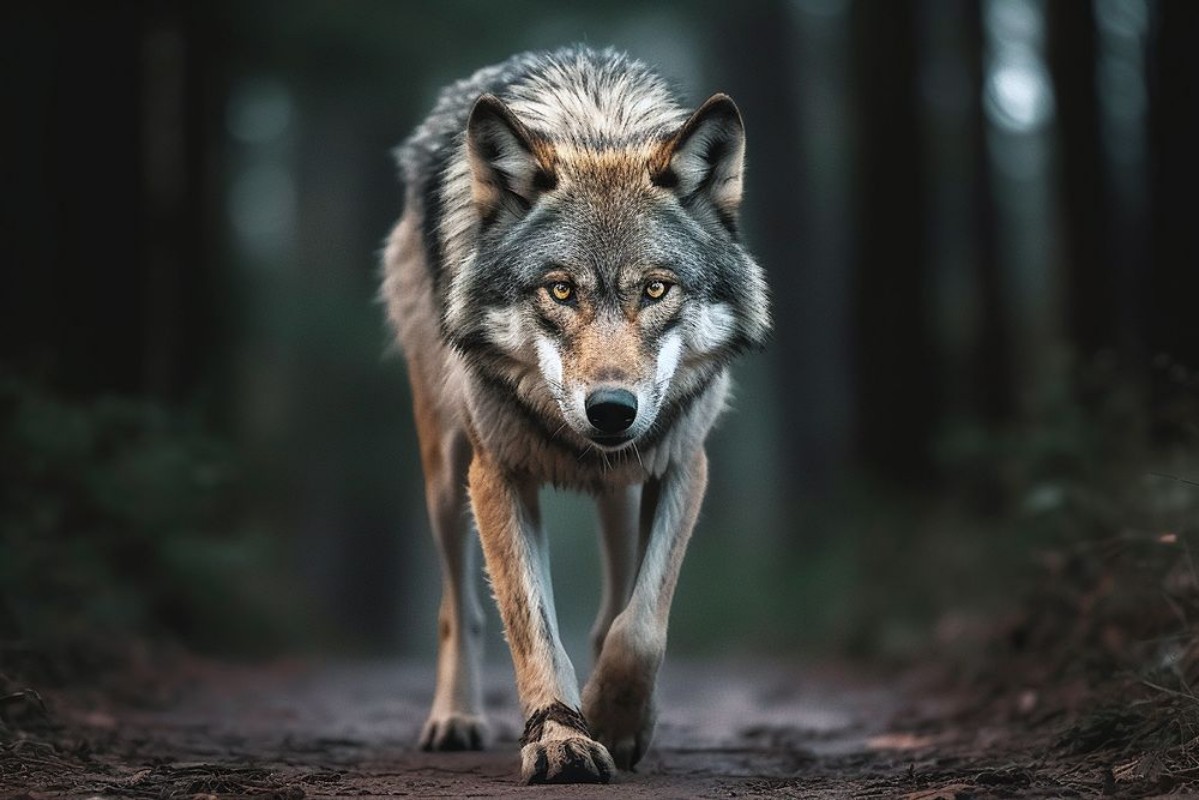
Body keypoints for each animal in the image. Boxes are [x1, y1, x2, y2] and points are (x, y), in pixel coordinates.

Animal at [381, 46, 770, 784]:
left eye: (656, 290)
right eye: (560, 290)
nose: (611, 411)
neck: (597, 130)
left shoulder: (683, 462)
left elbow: (641, 624)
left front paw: (616, 719)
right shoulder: (497, 475)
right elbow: (531, 627)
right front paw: (561, 738)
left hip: (622, 486)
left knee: (616, 602)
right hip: (445, 477)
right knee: (458, 611)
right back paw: (456, 717)